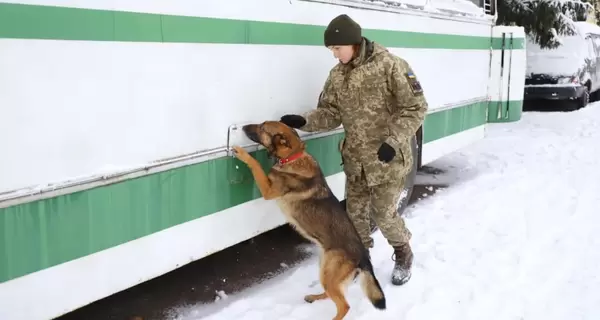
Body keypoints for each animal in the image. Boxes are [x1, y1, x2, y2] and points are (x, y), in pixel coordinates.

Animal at [232, 120, 386, 320]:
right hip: (324, 268)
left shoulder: (268, 190)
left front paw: (243, 155)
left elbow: (256, 165)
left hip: (329, 272)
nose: (243, 127)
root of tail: (363, 256)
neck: (292, 156)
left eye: (262, 127)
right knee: (331, 294)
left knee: (344, 305)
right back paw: (314, 297)